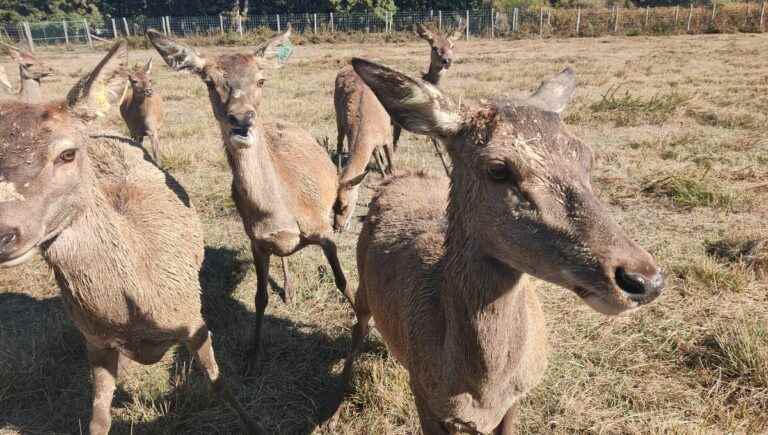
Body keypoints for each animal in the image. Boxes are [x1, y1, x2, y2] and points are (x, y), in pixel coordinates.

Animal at [0, 41, 262, 435]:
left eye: (67, 153)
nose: (5, 233)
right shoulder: (94, 342)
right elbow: (98, 417)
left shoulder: (193, 317)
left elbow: (219, 382)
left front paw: (252, 422)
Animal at [147, 26, 354, 368]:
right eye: (209, 81)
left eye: (261, 80)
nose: (242, 119)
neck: (282, 212)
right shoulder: (256, 242)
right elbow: (259, 297)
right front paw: (253, 356)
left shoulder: (324, 231)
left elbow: (343, 281)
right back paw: (288, 288)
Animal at [338, 58, 664, 435]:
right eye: (497, 168)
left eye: (586, 157)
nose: (644, 279)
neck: (482, 391)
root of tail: (396, 176)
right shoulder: (423, 394)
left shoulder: (517, 397)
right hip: (362, 278)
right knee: (358, 322)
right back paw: (343, 384)